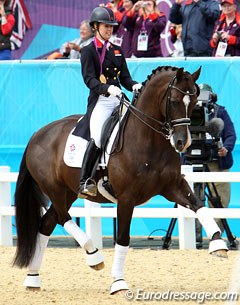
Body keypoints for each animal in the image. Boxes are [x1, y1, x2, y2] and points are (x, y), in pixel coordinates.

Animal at [12, 66, 227, 292]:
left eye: (194, 102)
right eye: (175, 101)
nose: (182, 142)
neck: (149, 140)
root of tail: (38, 134)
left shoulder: (173, 186)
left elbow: (198, 205)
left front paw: (218, 244)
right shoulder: (126, 198)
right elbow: (123, 238)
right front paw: (118, 282)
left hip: (69, 192)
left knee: (47, 223)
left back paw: (33, 278)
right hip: (55, 189)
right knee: (63, 218)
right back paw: (94, 255)